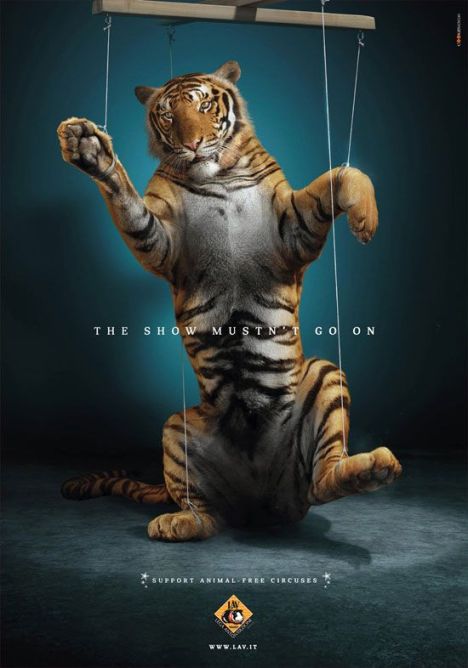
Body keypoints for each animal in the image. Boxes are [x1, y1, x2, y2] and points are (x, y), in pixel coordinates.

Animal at [57, 60, 402, 542]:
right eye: (167, 115)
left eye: (204, 105)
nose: (192, 144)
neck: (216, 174)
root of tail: (262, 504)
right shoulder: (165, 242)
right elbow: (129, 206)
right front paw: (90, 150)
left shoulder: (291, 231)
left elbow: (343, 175)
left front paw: (366, 221)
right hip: (176, 427)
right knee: (207, 511)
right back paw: (179, 522)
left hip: (325, 374)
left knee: (323, 480)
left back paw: (371, 468)